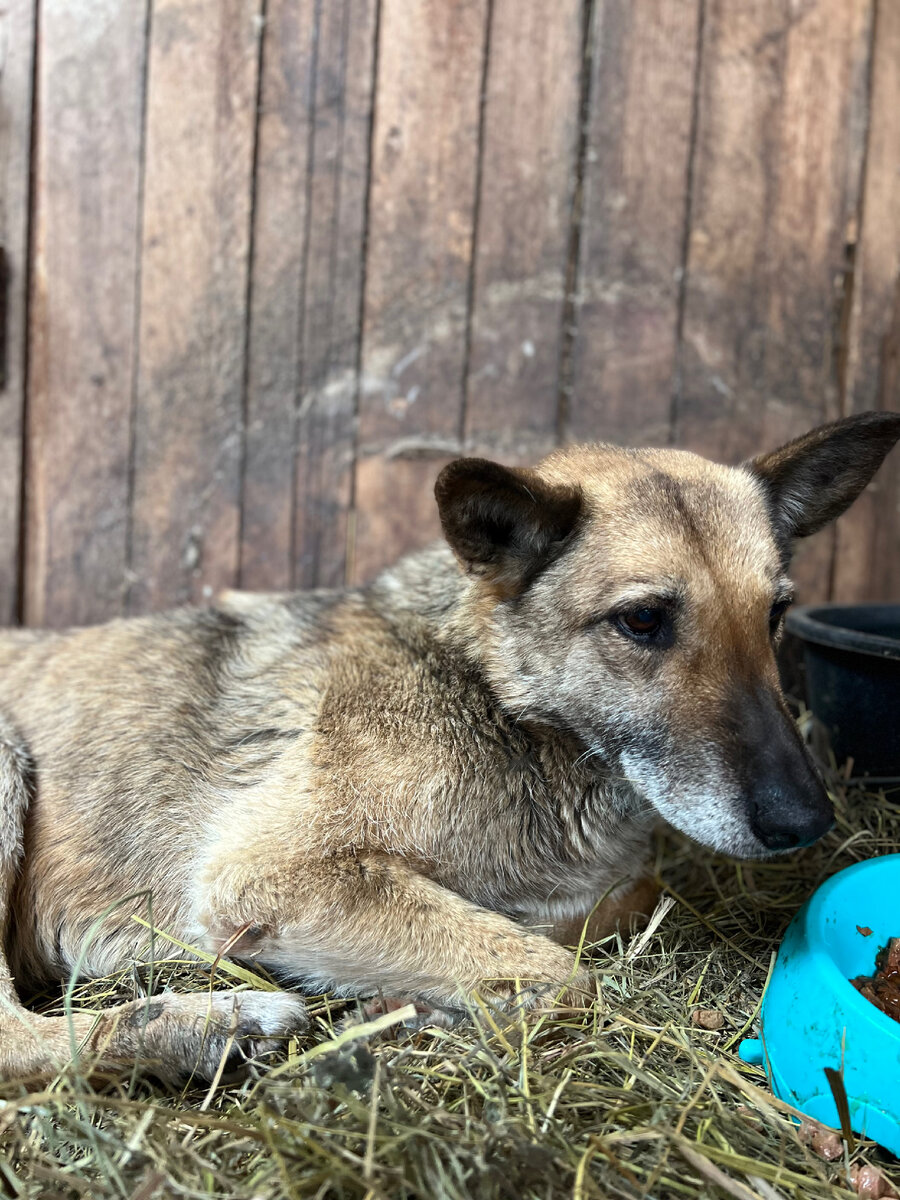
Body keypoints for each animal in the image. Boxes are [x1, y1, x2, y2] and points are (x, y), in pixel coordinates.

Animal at [0, 408, 897, 1084]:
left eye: (777, 614)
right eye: (643, 620)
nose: (807, 821)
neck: (498, 701)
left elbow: (596, 913)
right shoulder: (269, 877)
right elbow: (565, 977)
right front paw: (413, 1011)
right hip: (11, 761)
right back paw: (211, 1024)